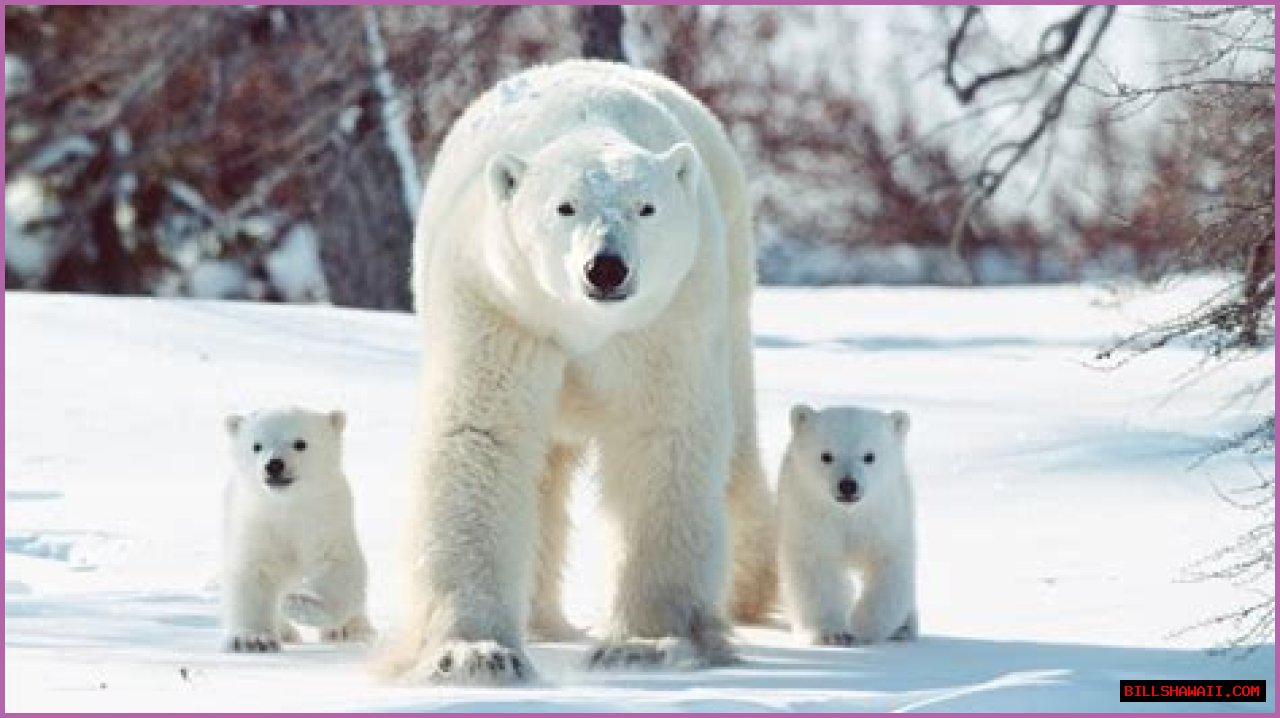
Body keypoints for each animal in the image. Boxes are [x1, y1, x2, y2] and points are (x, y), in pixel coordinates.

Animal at [221, 407, 374, 652]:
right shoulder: (256, 525)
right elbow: (252, 574)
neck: (289, 507)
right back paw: (287, 632)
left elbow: (339, 567)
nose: (274, 465)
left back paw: (350, 630)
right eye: (256, 445)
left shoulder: (326, 521)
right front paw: (253, 640)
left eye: (300, 443)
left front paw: (300, 604)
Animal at [383, 59, 776, 685]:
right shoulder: (498, 303)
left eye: (646, 207)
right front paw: (474, 654)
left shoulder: (666, 317)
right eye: (564, 207)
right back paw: (541, 619)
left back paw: (746, 594)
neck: (580, 324)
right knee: (544, 473)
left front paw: (645, 644)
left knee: (736, 445)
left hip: (730, 282)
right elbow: (481, 436)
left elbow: (664, 435)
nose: (607, 267)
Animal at [777, 404, 918, 647]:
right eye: (826, 455)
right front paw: (832, 634)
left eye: (869, 456)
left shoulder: (884, 520)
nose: (848, 485)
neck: (848, 515)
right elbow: (815, 571)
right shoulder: (809, 518)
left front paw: (863, 626)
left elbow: (890, 571)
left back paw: (905, 628)